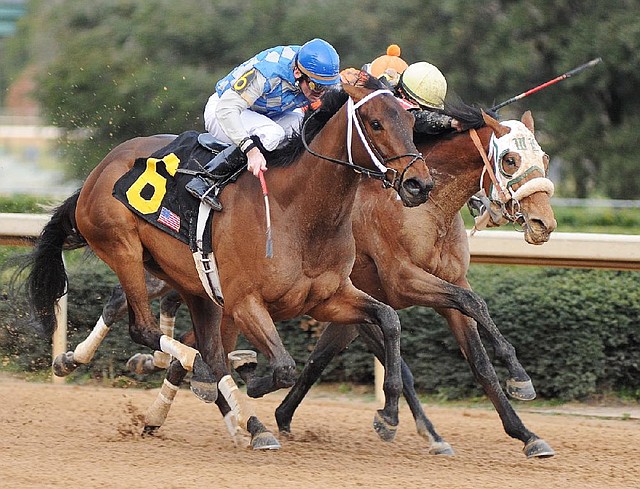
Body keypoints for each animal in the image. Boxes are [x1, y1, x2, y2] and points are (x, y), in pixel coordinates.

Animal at [25, 78, 436, 448]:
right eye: (376, 123)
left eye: (411, 120)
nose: (419, 184)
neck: (296, 211)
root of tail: (99, 169)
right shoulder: (245, 303)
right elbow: (284, 367)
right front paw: (254, 381)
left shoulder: (327, 298)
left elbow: (390, 320)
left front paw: (389, 416)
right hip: (123, 247)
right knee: (148, 329)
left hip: (191, 283)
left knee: (204, 349)